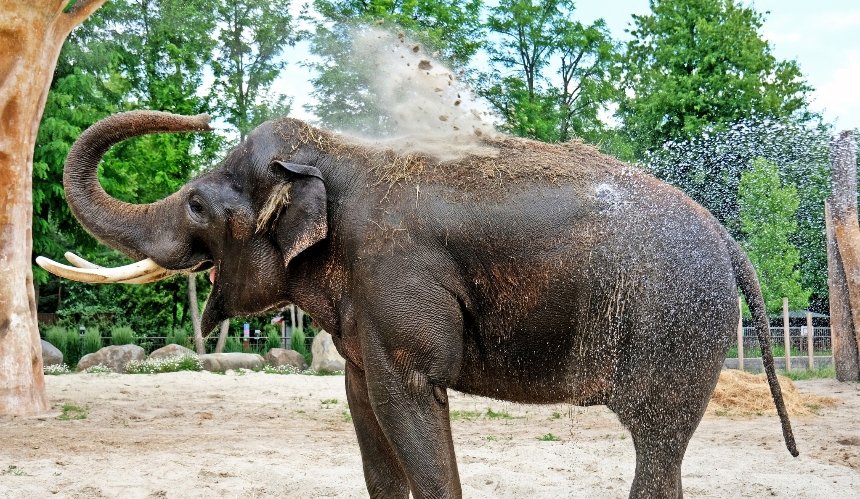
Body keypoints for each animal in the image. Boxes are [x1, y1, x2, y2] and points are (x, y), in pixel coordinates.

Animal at [37, 111, 796, 498]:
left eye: (196, 202)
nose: (196, 114)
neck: (336, 154)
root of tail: (730, 241)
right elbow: (367, 414)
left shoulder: (400, 288)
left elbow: (410, 405)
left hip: (676, 326)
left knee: (658, 443)